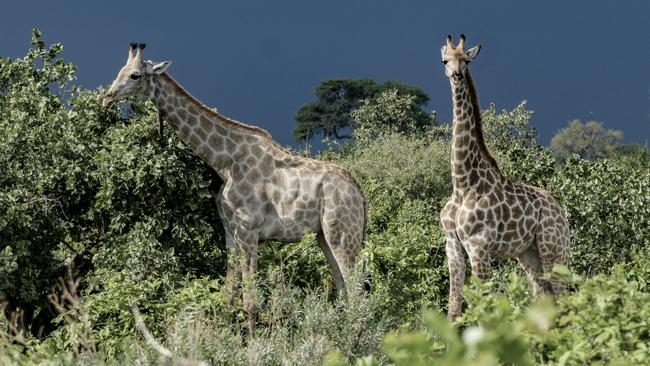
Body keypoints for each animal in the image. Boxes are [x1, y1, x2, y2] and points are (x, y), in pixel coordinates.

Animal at [100, 43, 364, 332]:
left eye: (135, 75)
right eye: (120, 70)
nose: (107, 97)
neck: (224, 161)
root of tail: (359, 193)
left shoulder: (249, 231)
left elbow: (250, 300)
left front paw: (253, 340)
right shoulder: (229, 231)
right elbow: (230, 292)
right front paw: (226, 334)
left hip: (342, 234)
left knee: (357, 291)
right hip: (324, 236)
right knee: (343, 289)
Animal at [438, 35, 568, 320]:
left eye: (466, 60)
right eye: (444, 60)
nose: (456, 75)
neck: (462, 183)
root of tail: (561, 211)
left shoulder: (479, 246)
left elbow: (482, 306)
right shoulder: (452, 246)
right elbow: (453, 307)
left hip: (554, 248)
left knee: (564, 296)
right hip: (528, 254)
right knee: (543, 296)